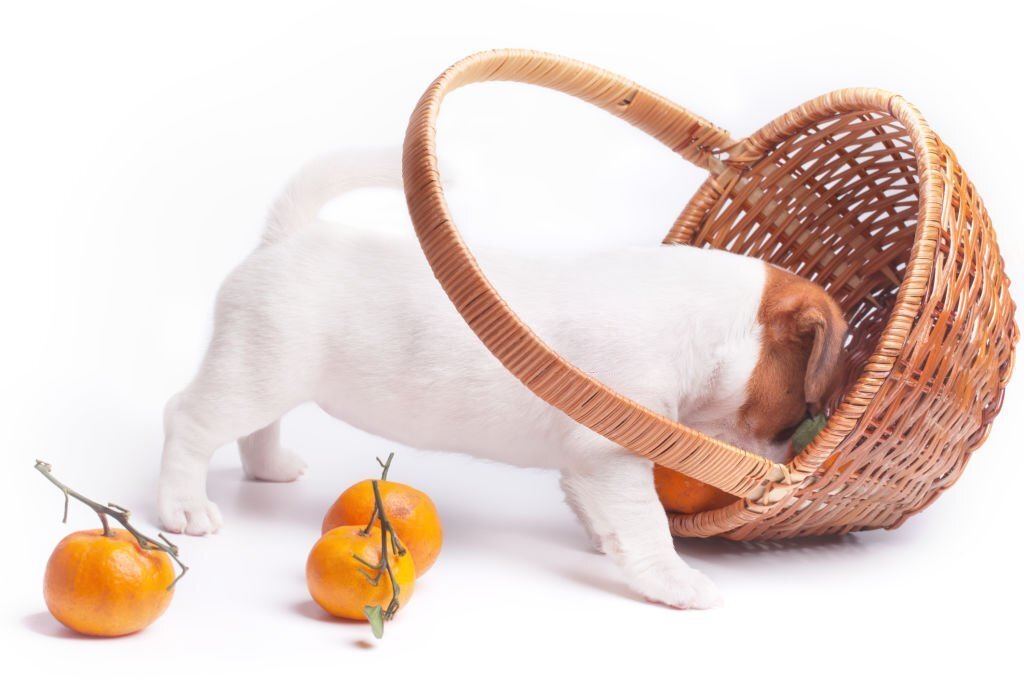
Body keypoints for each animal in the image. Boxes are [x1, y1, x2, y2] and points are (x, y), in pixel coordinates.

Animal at [159, 148, 847, 610]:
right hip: (252, 378)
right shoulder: (614, 458)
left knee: (256, 430)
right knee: (187, 421)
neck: (704, 325)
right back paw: (183, 506)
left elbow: (598, 512)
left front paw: (604, 543)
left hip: (266, 377)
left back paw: (269, 468)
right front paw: (674, 580)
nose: (780, 468)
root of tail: (291, 235)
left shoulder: (588, 466)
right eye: (792, 417)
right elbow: (646, 525)